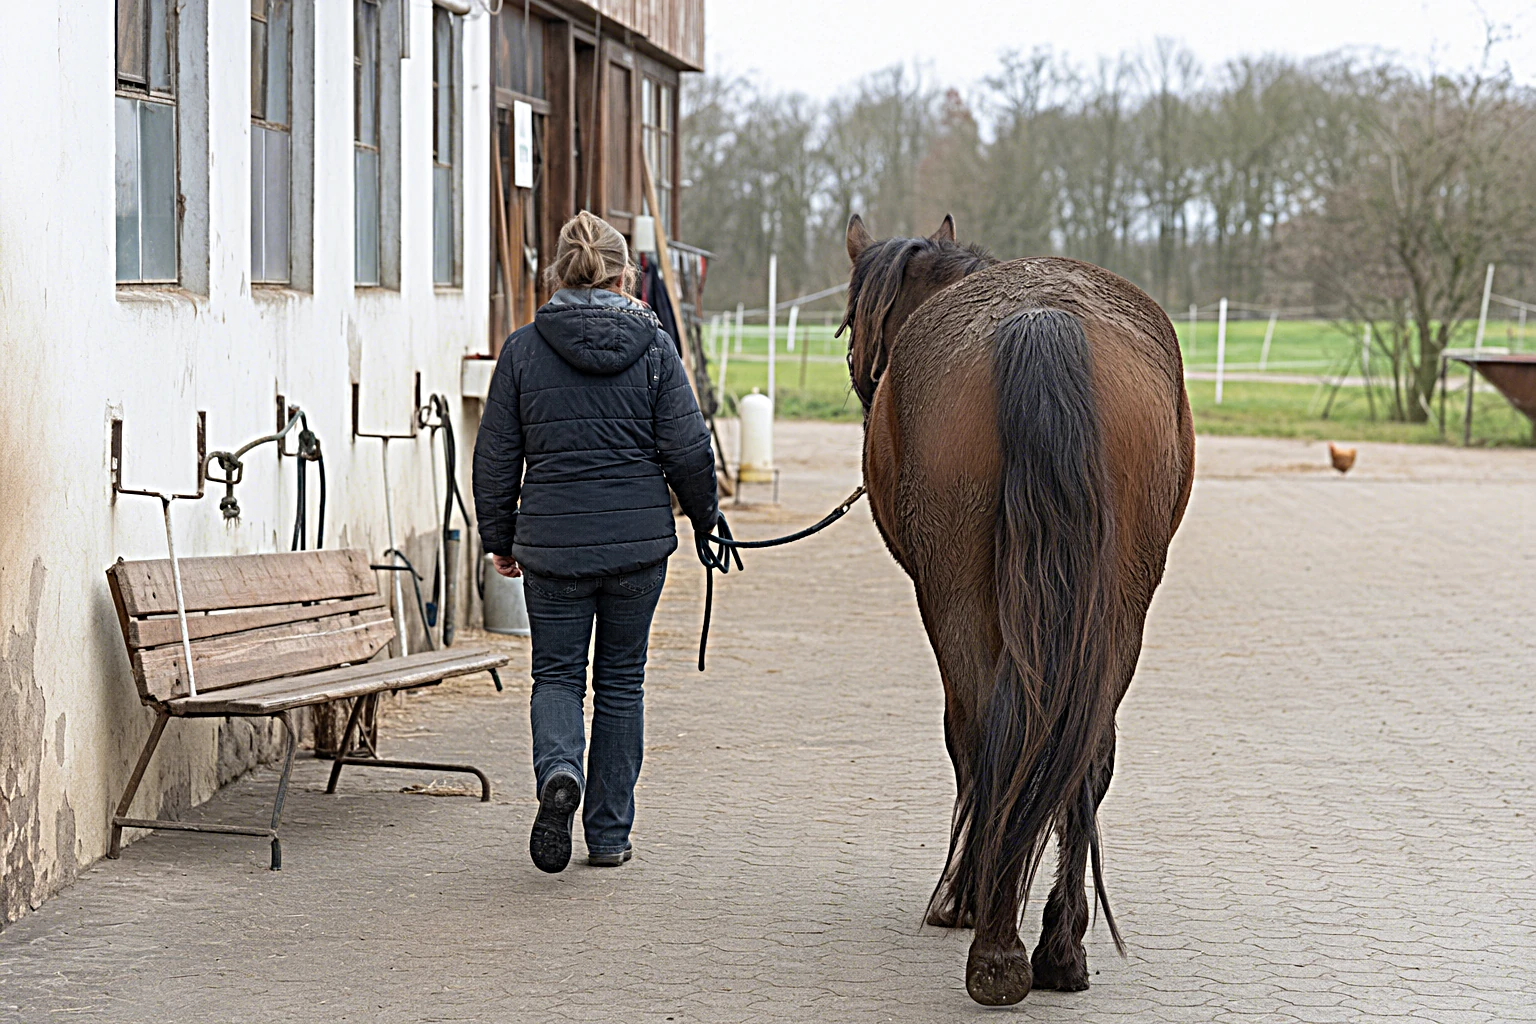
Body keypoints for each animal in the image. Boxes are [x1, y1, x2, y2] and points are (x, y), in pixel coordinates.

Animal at [839, 214, 1195, 1005]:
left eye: (850, 326)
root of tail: (1044, 317)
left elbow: (968, 742)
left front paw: (965, 897)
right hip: (1116, 609)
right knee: (1086, 750)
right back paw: (1059, 947)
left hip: (960, 602)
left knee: (986, 734)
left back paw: (993, 943)